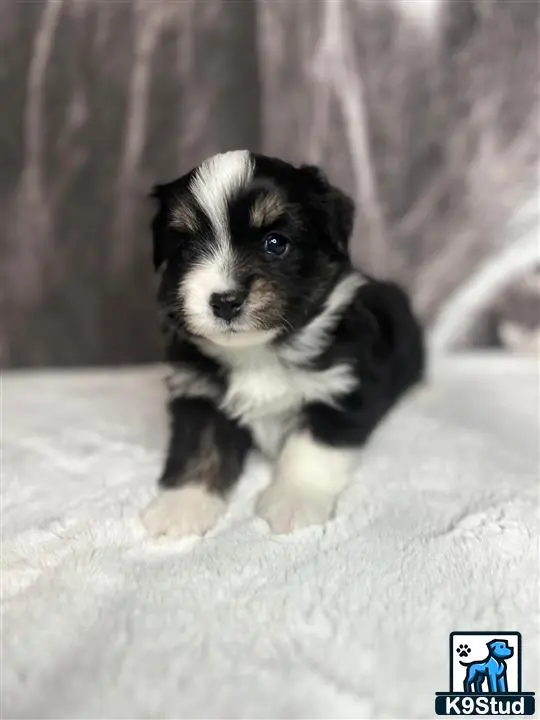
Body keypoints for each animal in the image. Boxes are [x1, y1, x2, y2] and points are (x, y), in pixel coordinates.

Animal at [140, 150, 426, 536]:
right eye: (186, 250)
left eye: (275, 243)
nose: (225, 301)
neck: (256, 351)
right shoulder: (198, 392)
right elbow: (199, 445)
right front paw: (182, 504)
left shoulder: (340, 387)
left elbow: (311, 448)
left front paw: (294, 501)